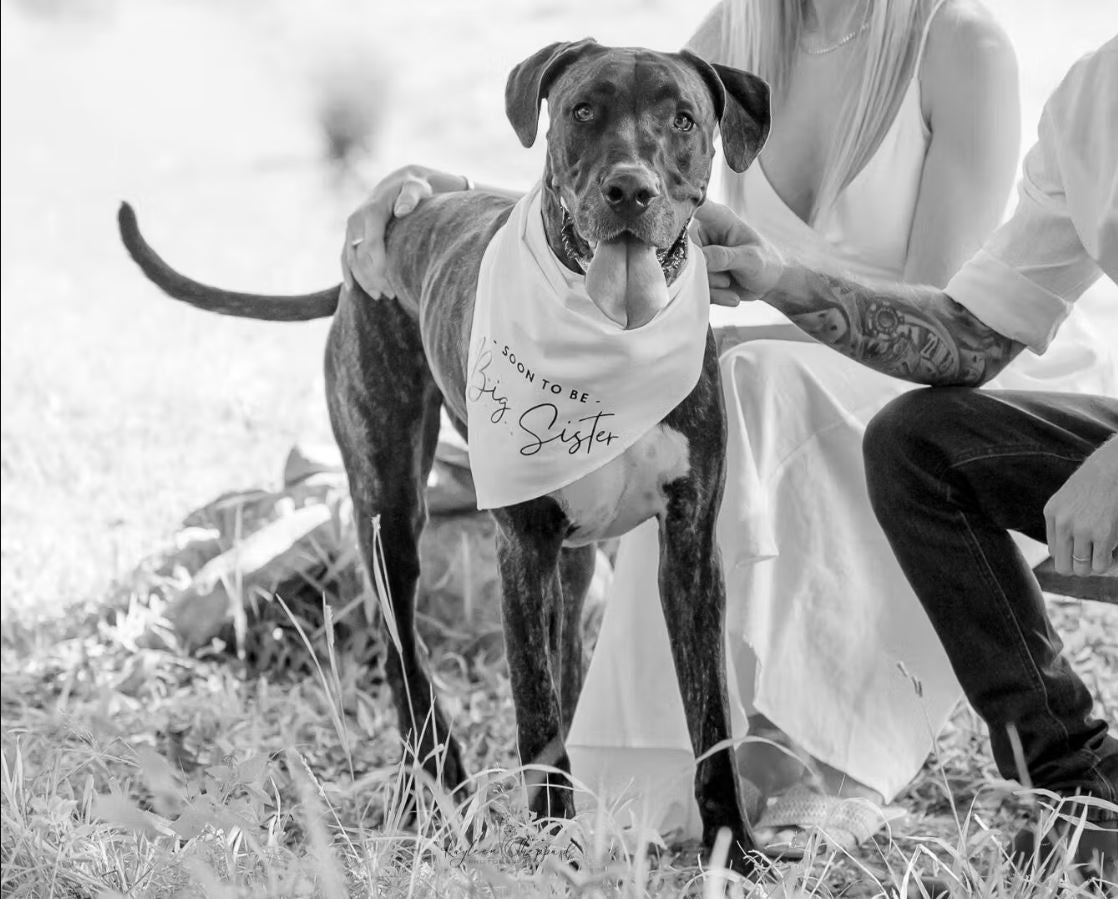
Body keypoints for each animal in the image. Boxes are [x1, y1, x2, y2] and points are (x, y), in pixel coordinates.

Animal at [120, 40, 769, 872]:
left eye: (683, 118)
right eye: (584, 109)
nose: (630, 187)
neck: (609, 344)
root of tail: (392, 226)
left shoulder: (687, 549)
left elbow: (708, 718)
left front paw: (735, 851)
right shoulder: (521, 547)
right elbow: (535, 711)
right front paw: (552, 851)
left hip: (574, 562)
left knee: (561, 652)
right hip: (388, 508)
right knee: (405, 656)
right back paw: (433, 791)